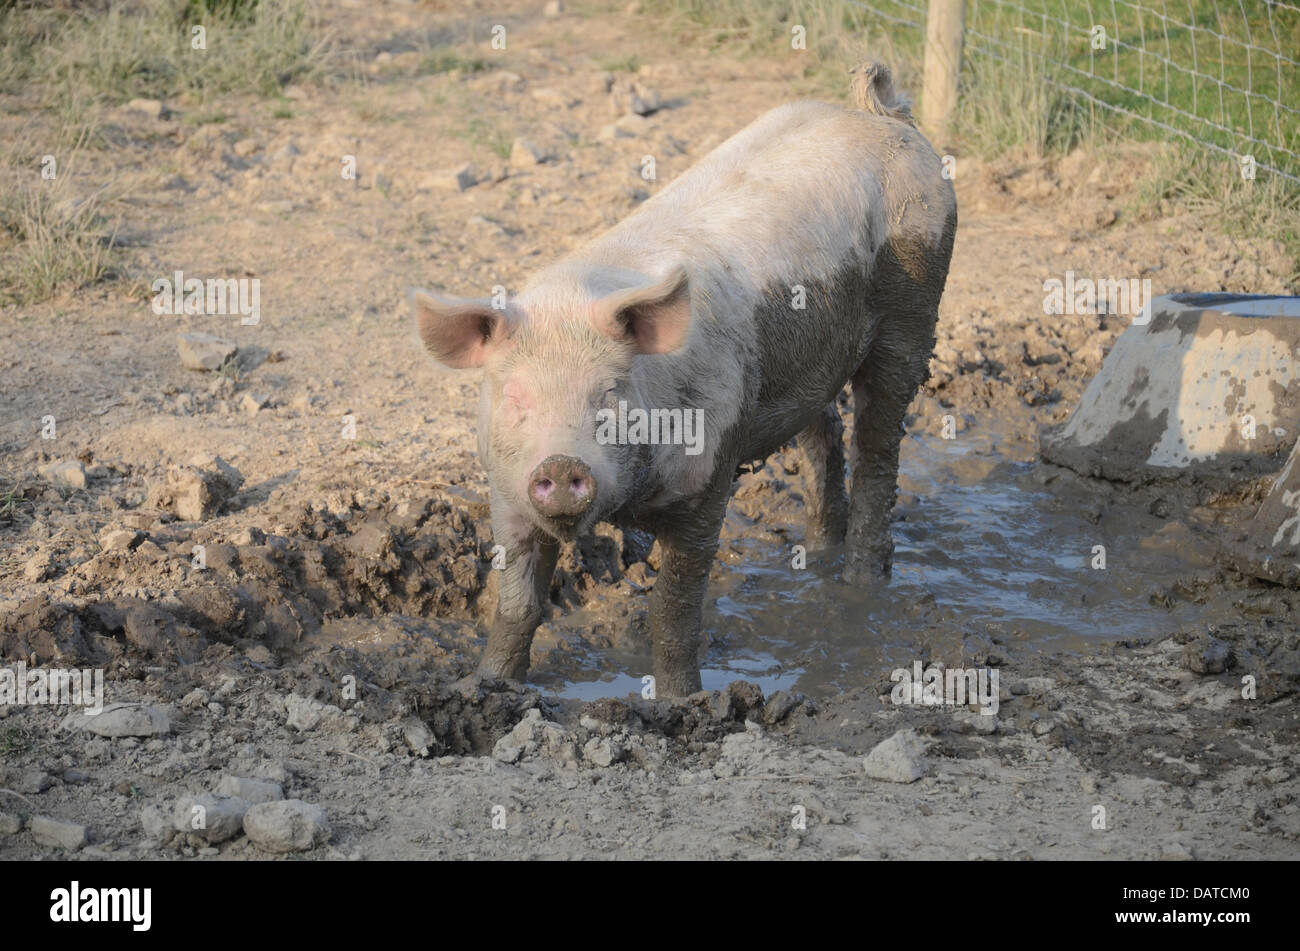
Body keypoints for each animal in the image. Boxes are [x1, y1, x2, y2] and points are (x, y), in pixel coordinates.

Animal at [410, 63, 961, 696]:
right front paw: (482, 686)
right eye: (515, 395)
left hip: (915, 300)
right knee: (821, 434)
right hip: (808, 355)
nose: (562, 464)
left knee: (878, 442)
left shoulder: (709, 474)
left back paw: (861, 584)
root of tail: (880, 114)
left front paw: (682, 700)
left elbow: (673, 605)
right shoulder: (505, 489)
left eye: (610, 393)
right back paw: (817, 555)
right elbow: (516, 603)